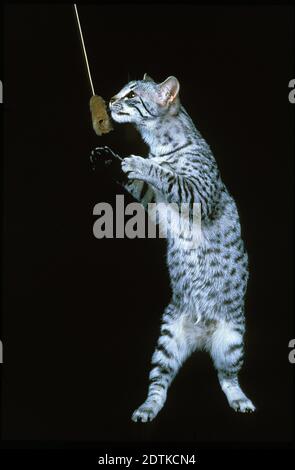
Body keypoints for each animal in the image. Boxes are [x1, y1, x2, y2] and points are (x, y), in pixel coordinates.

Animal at [91, 73, 256, 422]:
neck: (160, 146)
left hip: (233, 341)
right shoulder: (156, 204)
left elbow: (165, 175)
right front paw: (110, 160)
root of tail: (201, 339)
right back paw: (147, 407)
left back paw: (240, 399)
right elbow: (142, 183)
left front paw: (140, 163)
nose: (111, 100)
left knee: (227, 377)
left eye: (131, 94)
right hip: (165, 340)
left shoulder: (199, 196)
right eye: (121, 92)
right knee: (159, 382)